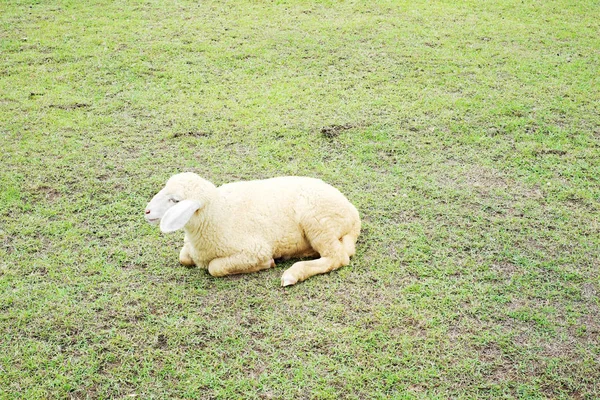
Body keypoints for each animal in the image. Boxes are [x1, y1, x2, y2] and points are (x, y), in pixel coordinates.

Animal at [144, 173, 360, 286]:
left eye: (175, 200)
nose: (146, 211)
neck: (219, 214)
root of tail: (353, 213)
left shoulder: (254, 250)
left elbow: (215, 267)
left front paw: (266, 264)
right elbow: (184, 257)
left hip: (317, 221)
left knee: (337, 257)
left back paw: (293, 274)